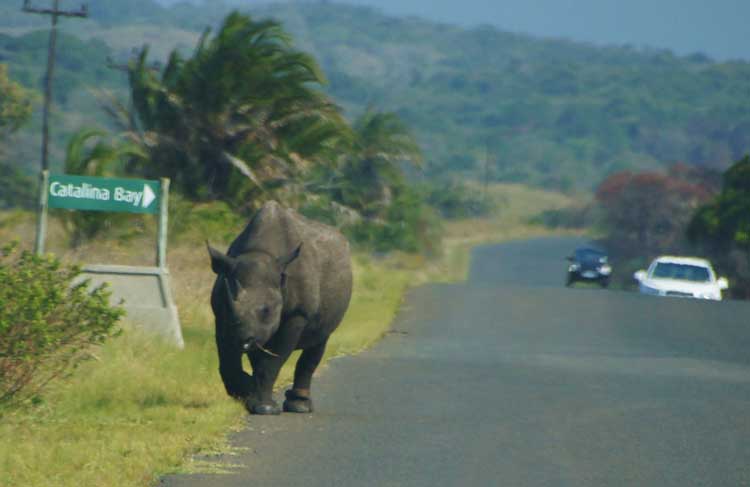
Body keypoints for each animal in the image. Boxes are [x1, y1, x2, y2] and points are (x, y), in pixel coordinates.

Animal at [207, 201, 353, 415]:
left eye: (267, 310)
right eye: (228, 304)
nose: (243, 338)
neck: (260, 253)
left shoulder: (298, 314)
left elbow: (273, 361)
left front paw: (265, 408)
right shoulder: (221, 314)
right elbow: (228, 357)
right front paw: (246, 391)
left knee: (320, 340)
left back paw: (299, 406)